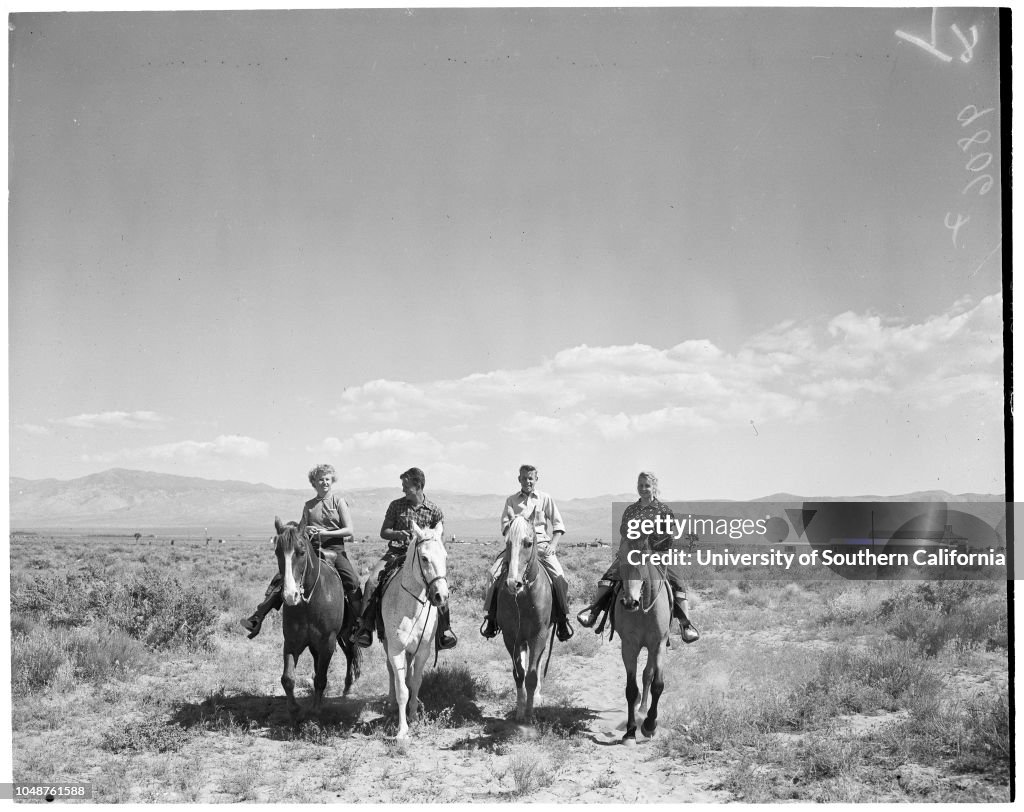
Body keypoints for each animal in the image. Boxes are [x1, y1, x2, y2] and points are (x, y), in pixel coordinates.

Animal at [274, 516, 362, 720]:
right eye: (277, 552)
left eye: (301, 552)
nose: (290, 596)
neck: (309, 601)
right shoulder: (292, 642)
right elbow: (288, 678)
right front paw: (294, 709)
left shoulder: (327, 642)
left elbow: (321, 678)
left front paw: (315, 710)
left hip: (346, 634)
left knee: (350, 654)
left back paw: (348, 687)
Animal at [380, 520, 448, 733]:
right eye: (424, 558)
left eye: (445, 556)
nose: (442, 596)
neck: (412, 608)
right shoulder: (396, 649)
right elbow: (401, 688)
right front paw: (402, 730)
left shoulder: (423, 650)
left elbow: (416, 682)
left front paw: (414, 716)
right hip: (387, 645)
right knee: (391, 672)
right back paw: (391, 703)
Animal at [495, 514, 552, 720]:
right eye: (508, 543)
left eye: (528, 543)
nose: (513, 583)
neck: (524, 597)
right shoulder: (511, 637)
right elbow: (519, 673)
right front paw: (520, 711)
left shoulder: (539, 635)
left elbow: (532, 676)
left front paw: (529, 714)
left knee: (539, 662)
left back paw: (537, 697)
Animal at [614, 536, 671, 745]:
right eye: (619, 556)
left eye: (644, 558)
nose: (630, 602)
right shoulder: (629, 647)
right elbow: (631, 689)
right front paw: (630, 731)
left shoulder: (659, 644)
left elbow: (657, 684)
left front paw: (649, 725)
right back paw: (640, 709)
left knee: (648, 675)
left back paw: (644, 711)